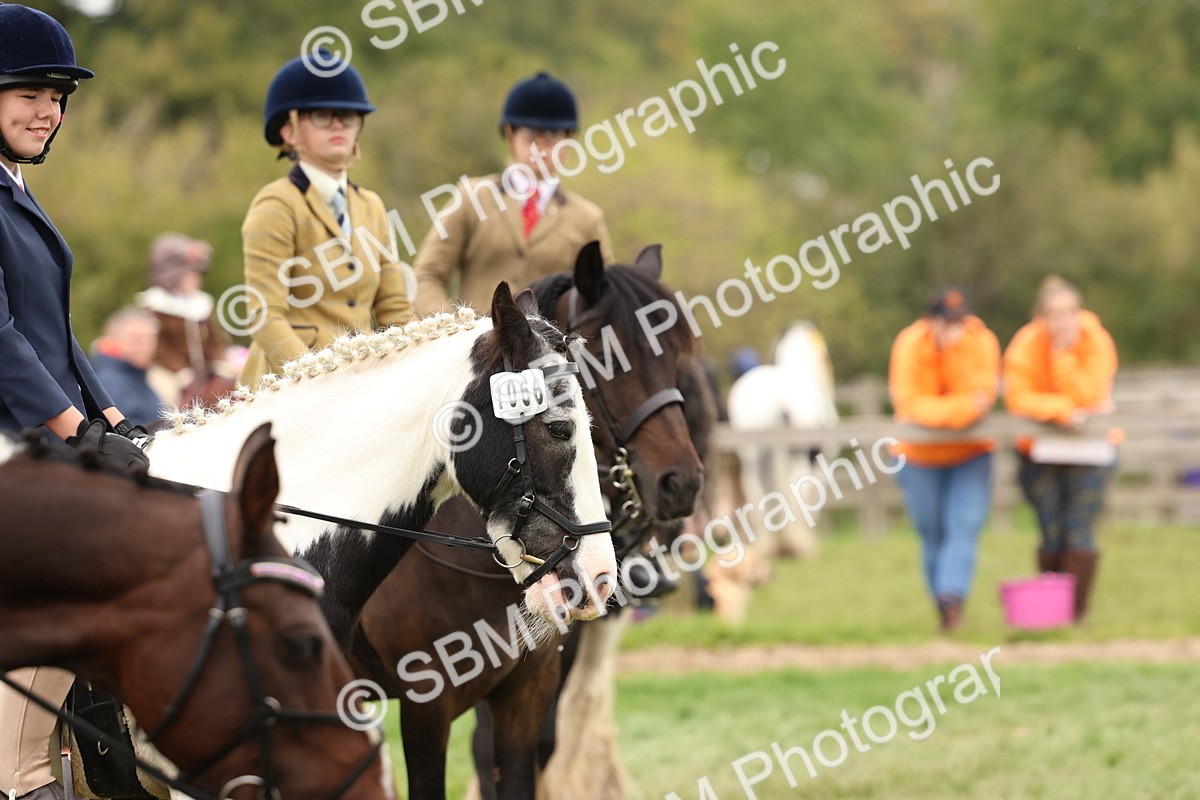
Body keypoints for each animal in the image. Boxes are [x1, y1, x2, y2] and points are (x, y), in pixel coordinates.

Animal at [726, 321, 839, 558]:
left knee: (755, 492)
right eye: (826, 354)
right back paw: (799, 545)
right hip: (799, 455)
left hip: (752, 456)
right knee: (798, 488)